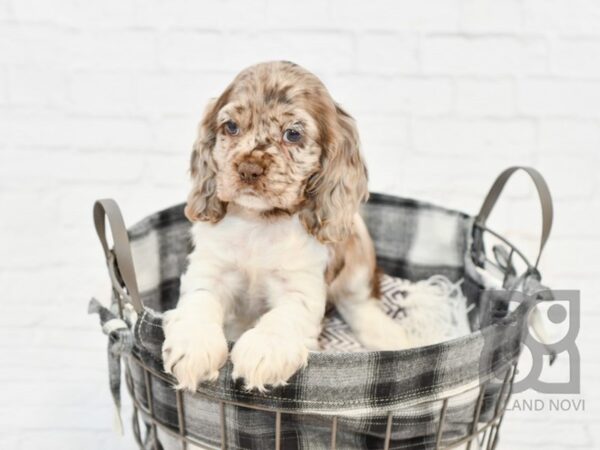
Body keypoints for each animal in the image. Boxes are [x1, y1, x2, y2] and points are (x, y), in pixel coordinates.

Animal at [162, 59, 410, 390]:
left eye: (292, 134)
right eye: (231, 127)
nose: (249, 169)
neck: (259, 221)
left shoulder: (301, 286)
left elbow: (283, 315)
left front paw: (263, 349)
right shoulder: (210, 269)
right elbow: (200, 300)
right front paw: (193, 345)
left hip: (358, 248)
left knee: (359, 303)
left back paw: (390, 336)